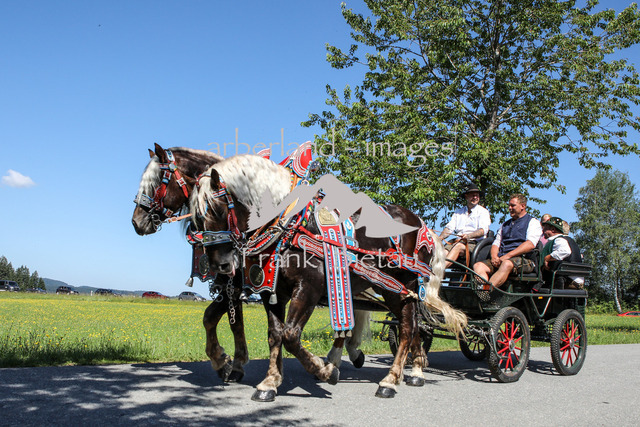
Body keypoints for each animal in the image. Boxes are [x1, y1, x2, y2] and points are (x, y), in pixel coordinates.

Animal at [191, 154, 467, 400]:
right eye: (195, 219)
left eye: (216, 209)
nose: (219, 264)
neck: (291, 226)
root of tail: (421, 224)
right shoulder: (271, 290)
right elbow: (275, 335)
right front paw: (270, 382)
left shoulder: (309, 288)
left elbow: (291, 335)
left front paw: (325, 371)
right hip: (391, 289)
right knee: (414, 325)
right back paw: (412, 372)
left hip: (401, 286)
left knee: (408, 328)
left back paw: (390, 380)